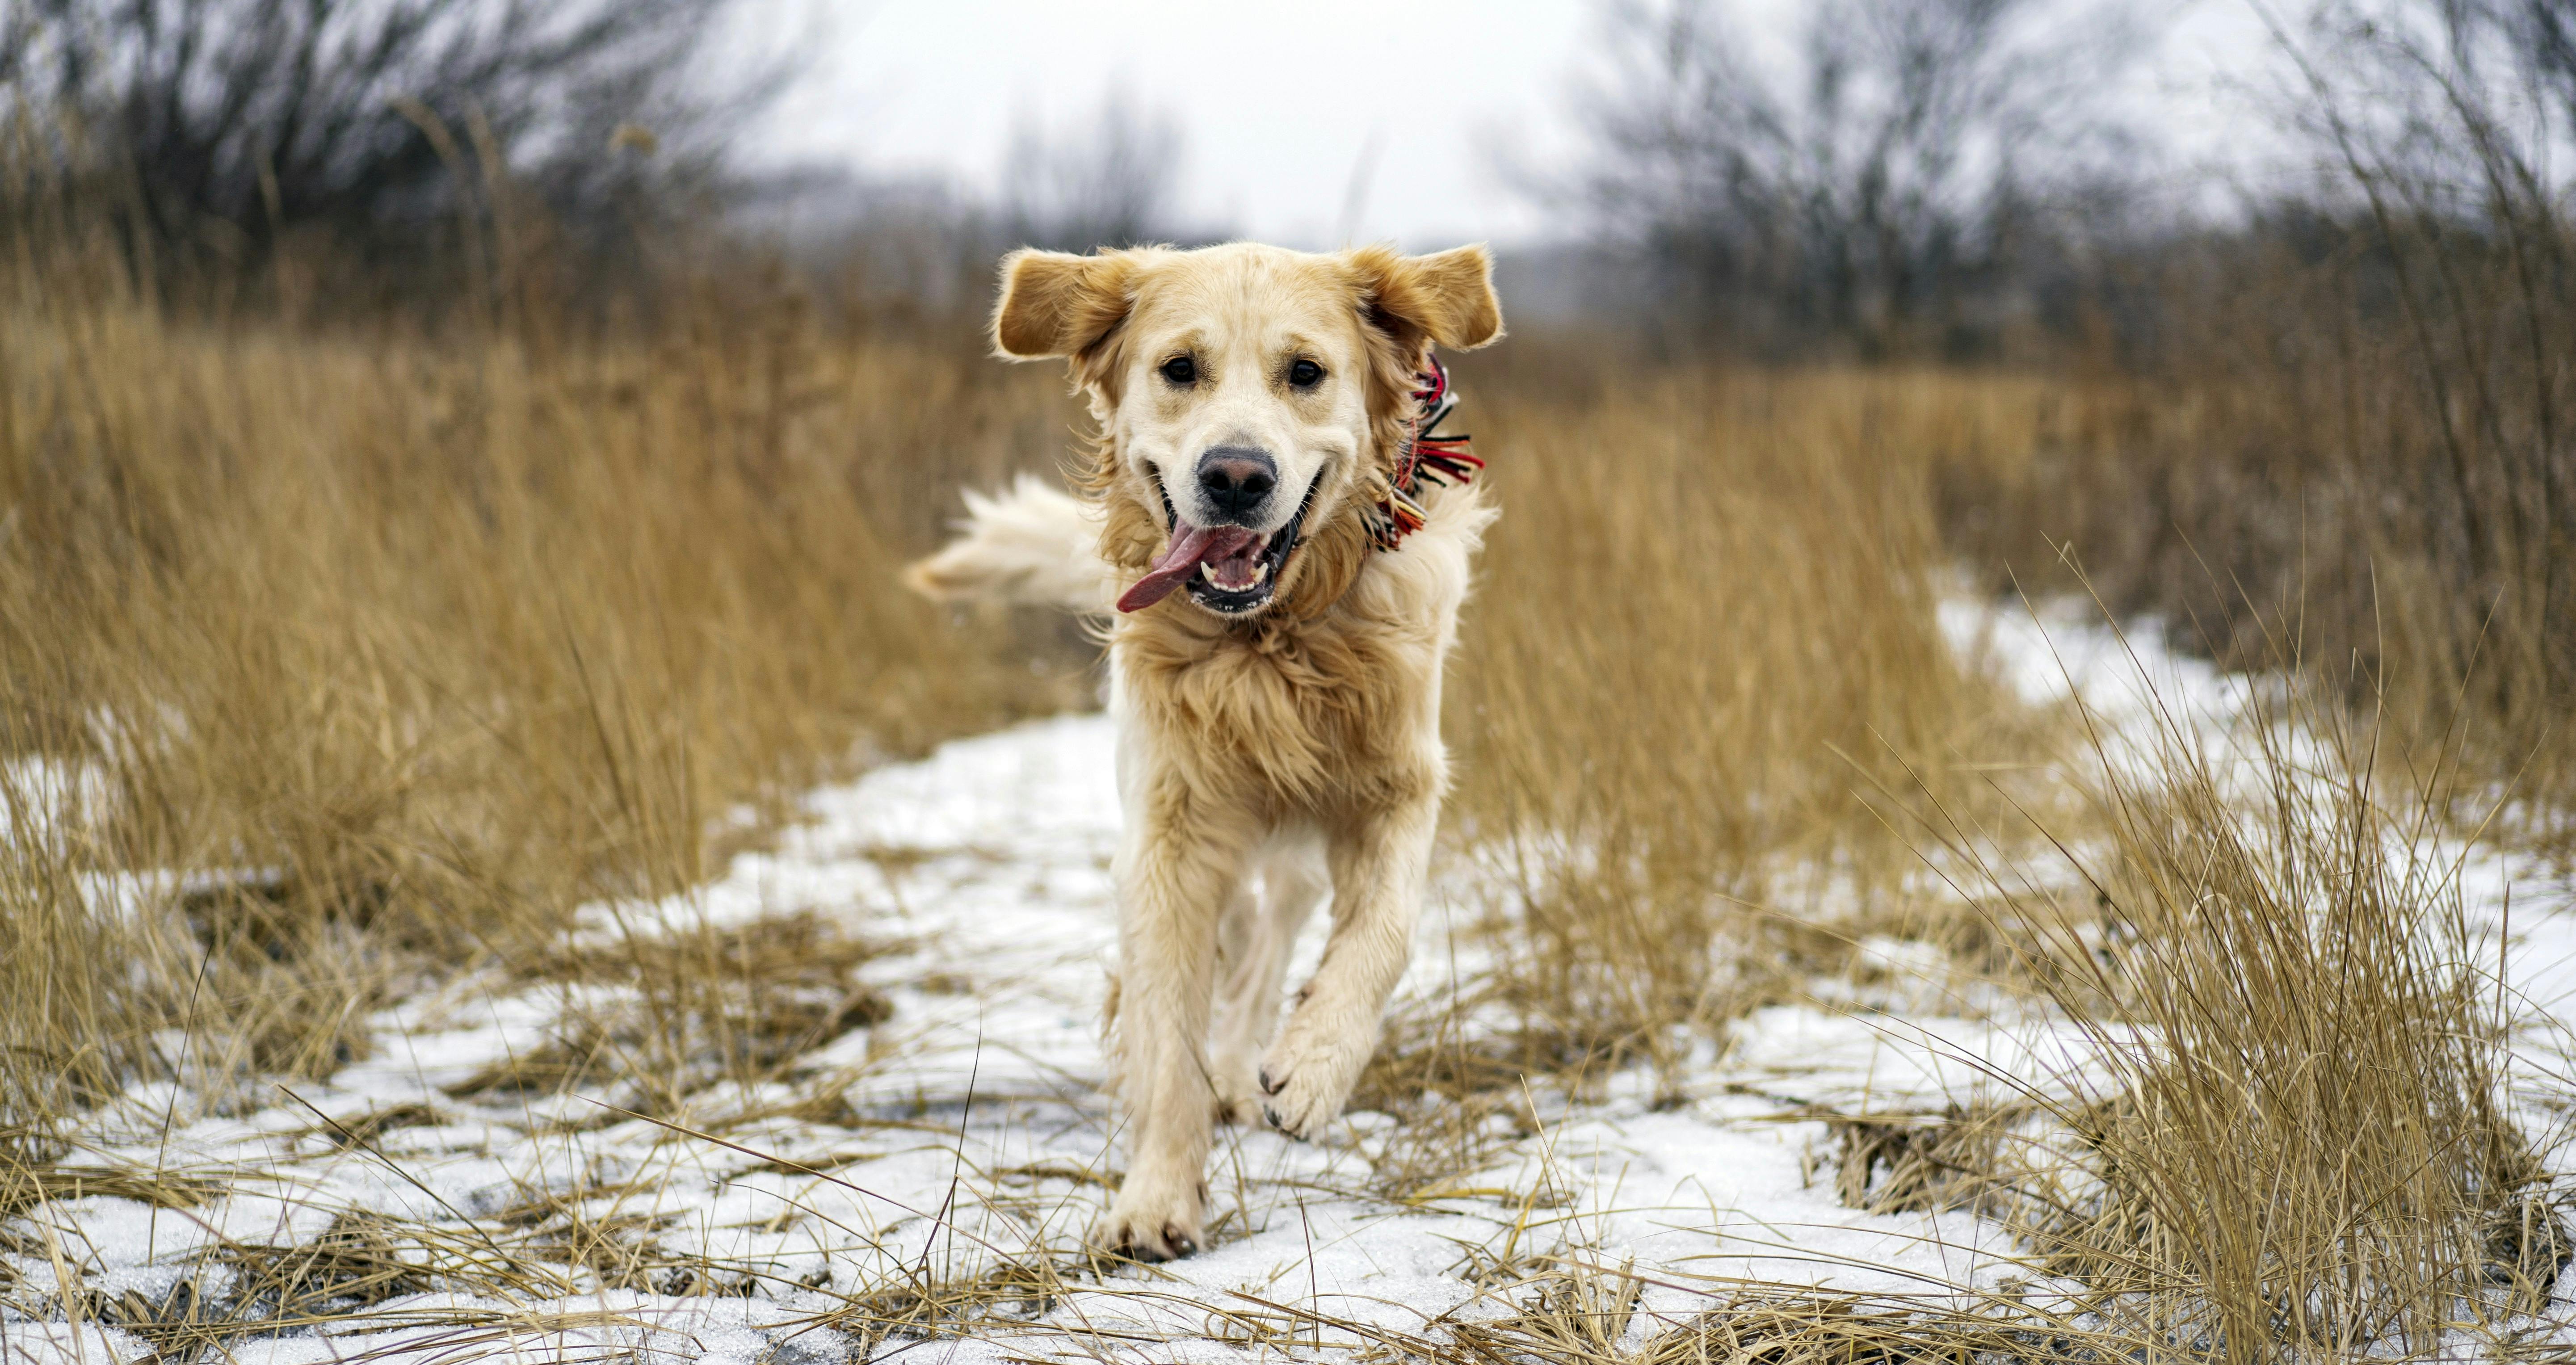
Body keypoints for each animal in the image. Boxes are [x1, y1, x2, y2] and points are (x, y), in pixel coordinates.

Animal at [917, 242, 1504, 1252]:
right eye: (1179, 369)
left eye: (1304, 373)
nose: (1236, 476)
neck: (1268, 644)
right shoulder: (1170, 836)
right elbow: (1165, 1034)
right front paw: (1155, 1197)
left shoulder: (1395, 786)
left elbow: (1385, 933)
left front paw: (1313, 1067)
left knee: (1271, 943)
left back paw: (1251, 1068)